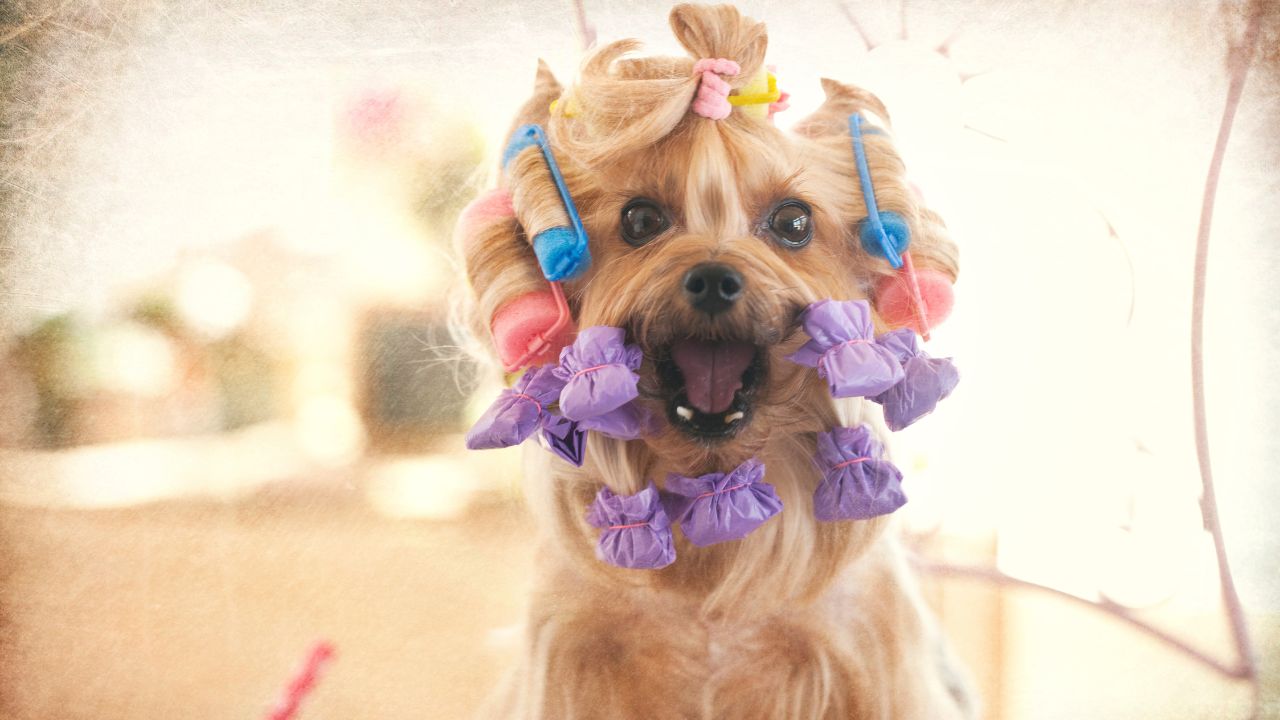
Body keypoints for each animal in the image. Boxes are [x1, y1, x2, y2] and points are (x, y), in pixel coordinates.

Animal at [458, 7, 967, 717]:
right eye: (640, 218)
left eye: (793, 222)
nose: (714, 278)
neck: (714, 478)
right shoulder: (571, 656)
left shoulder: (865, 656)